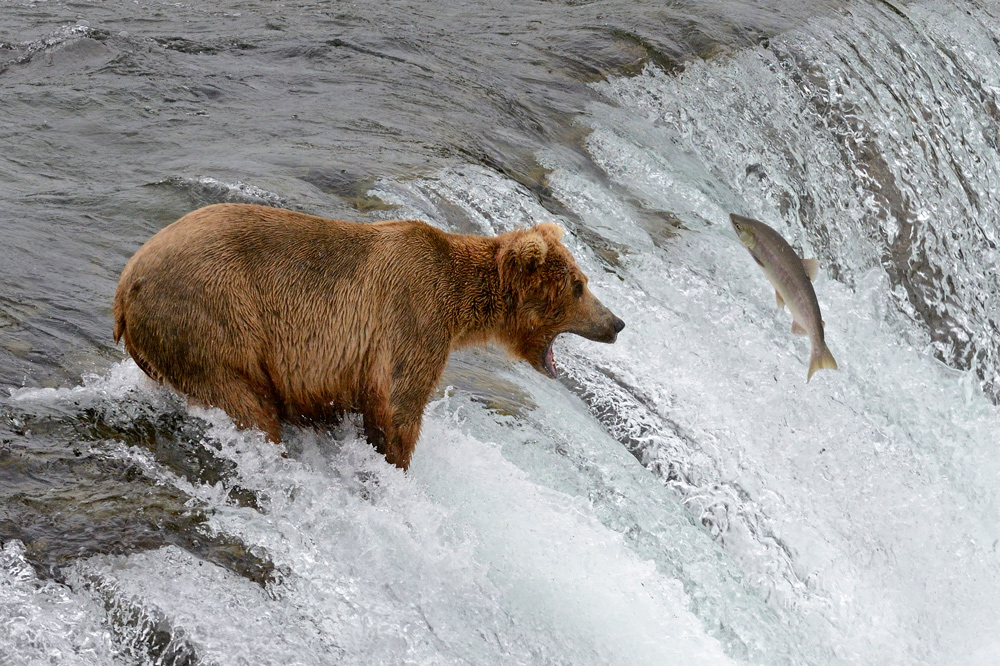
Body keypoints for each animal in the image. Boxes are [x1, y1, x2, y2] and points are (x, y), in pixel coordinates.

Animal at [113, 202, 620, 466]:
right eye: (579, 285)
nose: (616, 323)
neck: (462, 303)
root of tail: (123, 288)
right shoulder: (412, 316)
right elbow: (396, 407)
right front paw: (395, 465)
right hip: (210, 319)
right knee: (246, 403)